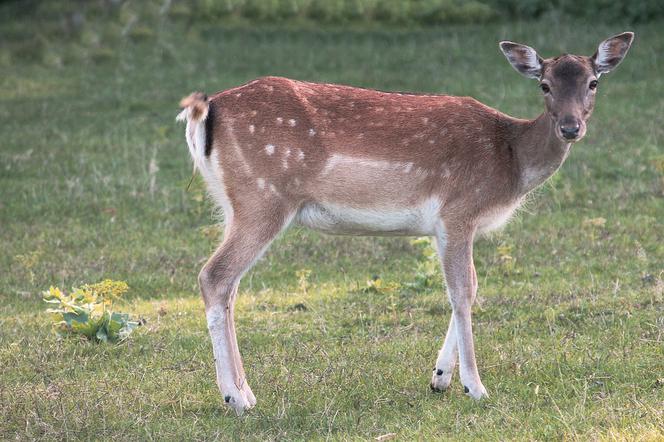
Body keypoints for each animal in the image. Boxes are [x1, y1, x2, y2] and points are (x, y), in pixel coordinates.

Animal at [176, 32, 632, 414]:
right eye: (544, 85)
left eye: (593, 83)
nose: (571, 127)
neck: (512, 159)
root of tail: (205, 110)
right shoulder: (457, 211)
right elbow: (461, 290)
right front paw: (475, 387)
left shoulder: (448, 226)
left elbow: (470, 287)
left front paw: (440, 378)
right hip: (263, 198)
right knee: (214, 276)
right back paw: (236, 398)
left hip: (235, 204)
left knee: (230, 285)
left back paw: (245, 391)